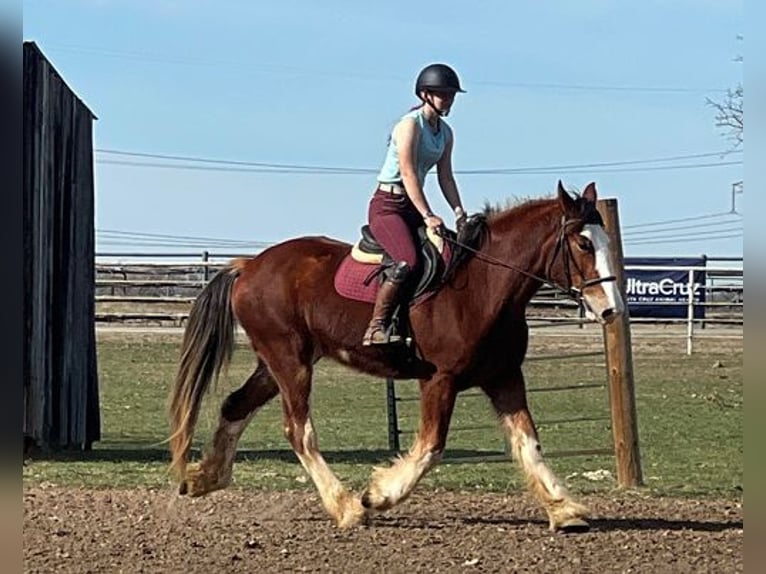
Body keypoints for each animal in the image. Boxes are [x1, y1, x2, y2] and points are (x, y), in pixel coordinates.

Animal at [166, 181, 624, 536]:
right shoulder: (439, 380)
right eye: (583, 242)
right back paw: (346, 507)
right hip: (289, 361)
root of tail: (249, 266)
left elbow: (528, 442)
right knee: (299, 431)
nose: (611, 310)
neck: (482, 287)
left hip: (276, 362)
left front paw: (564, 509)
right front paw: (378, 495)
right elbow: (430, 448)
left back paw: (204, 477)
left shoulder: (505, 377)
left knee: (235, 405)